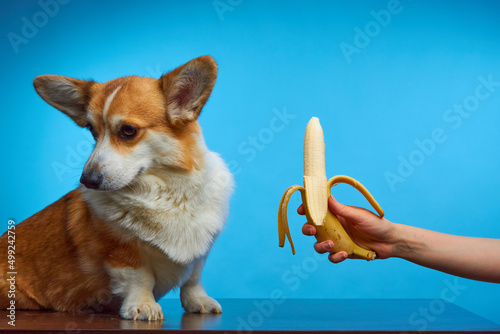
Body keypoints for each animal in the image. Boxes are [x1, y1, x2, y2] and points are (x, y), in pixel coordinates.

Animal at [0, 56, 234, 320]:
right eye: (92, 130)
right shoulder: (121, 251)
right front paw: (142, 305)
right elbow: (140, 278)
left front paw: (199, 301)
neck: (168, 190)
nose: (87, 180)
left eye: (128, 130)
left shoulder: (200, 252)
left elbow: (193, 278)